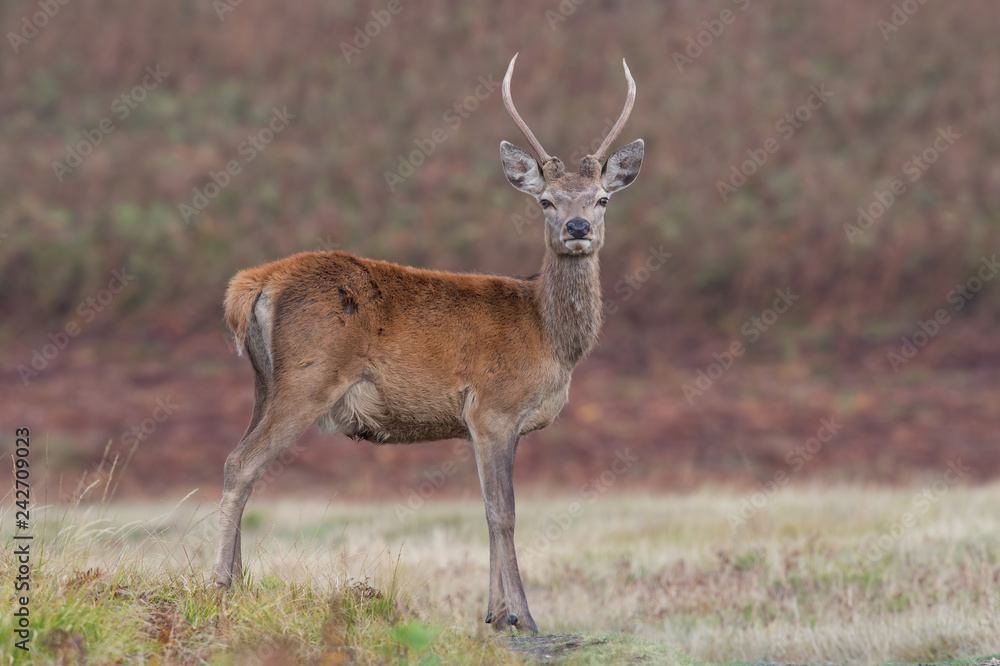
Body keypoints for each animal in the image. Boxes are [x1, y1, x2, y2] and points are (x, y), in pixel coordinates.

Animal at [211, 53, 643, 633]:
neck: (548, 337)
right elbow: (503, 512)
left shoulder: (483, 423)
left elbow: (486, 509)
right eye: (545, 201)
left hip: (264, 382)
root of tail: (254, 284)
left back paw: (238, 582)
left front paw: (493, 613)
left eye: (602, 198)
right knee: (241, 463)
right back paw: (219, 586)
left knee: (245, 463)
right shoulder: (494, 407)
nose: (577, 226)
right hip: (309, 377)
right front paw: (522, 616)